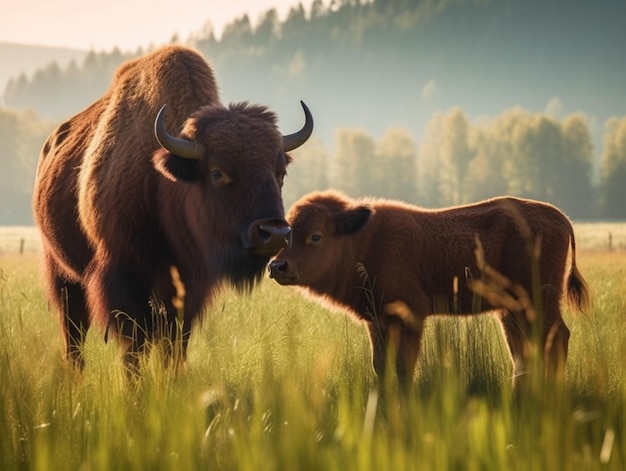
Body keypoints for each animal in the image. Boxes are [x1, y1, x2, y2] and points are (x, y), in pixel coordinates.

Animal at [33, 45, 312, 368]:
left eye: (281, 173)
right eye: (217, 173)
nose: (275, 233)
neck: (161, 182)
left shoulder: (188, 288)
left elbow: (174, 344)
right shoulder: (122, 278)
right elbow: (134, 346)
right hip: (63, 276)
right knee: (74, 336)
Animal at [268, 191, 584, 388]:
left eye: (316, 236)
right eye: (288, 233)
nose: (277, 266)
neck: (363, 241)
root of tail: (559, 216)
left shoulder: (410, 318)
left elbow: (403, 367)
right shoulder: (377, 323)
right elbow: (380, 366)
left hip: (539, 301)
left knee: (557, 338)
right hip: (512, 310)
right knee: (524, 349)